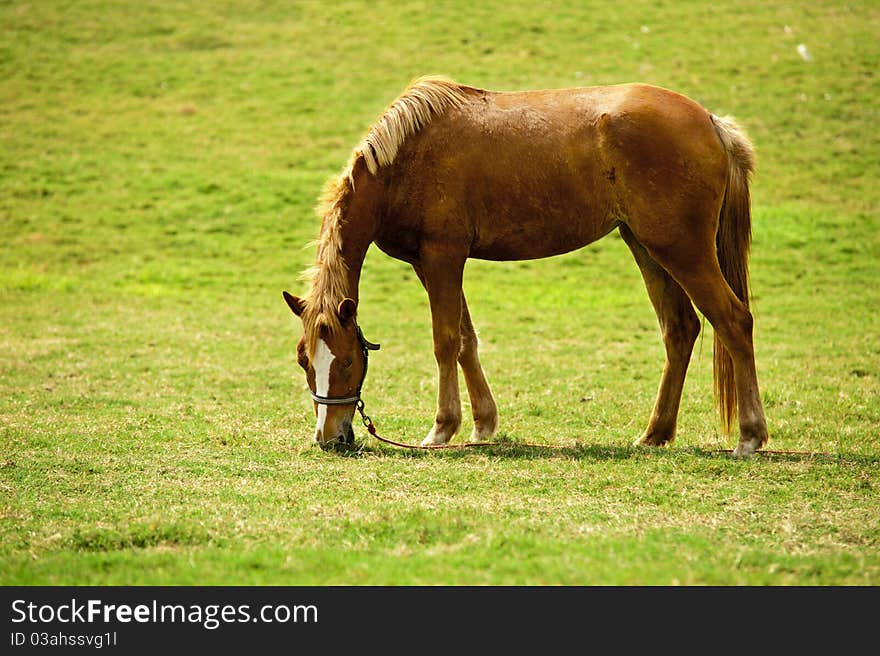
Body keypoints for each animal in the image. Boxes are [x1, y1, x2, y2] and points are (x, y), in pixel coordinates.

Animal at [284, 75, 768, 456]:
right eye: (304, 360)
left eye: (348, 361)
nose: (329, 438)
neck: (403, 161)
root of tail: (711, 122)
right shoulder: (431, 264)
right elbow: (466, 341)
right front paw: (482, 424)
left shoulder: (442, 258)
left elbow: (445, 341)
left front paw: (442, 429)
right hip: (647, 247)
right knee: (680, 330)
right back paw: (655, 433)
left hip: (683, 251)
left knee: (733, 320)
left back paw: (750, 436)